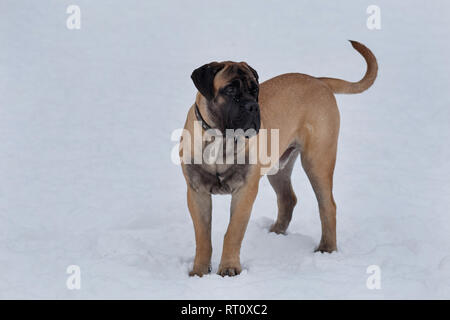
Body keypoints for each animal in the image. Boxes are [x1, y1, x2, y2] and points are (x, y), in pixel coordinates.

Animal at [178, 40, 376, 278]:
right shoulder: (196, 191)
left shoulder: (245, 190)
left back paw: (326, 248)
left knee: (328, 205)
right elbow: (203, 237)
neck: (221, 140)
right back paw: (276, 232)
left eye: (255, 90)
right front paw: (199, 272)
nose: (253, 106)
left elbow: (233, 231)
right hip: (279, 167)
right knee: (288, 198)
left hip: (317, 160)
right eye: (230, 89)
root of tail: (318, 80)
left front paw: (229, 268)